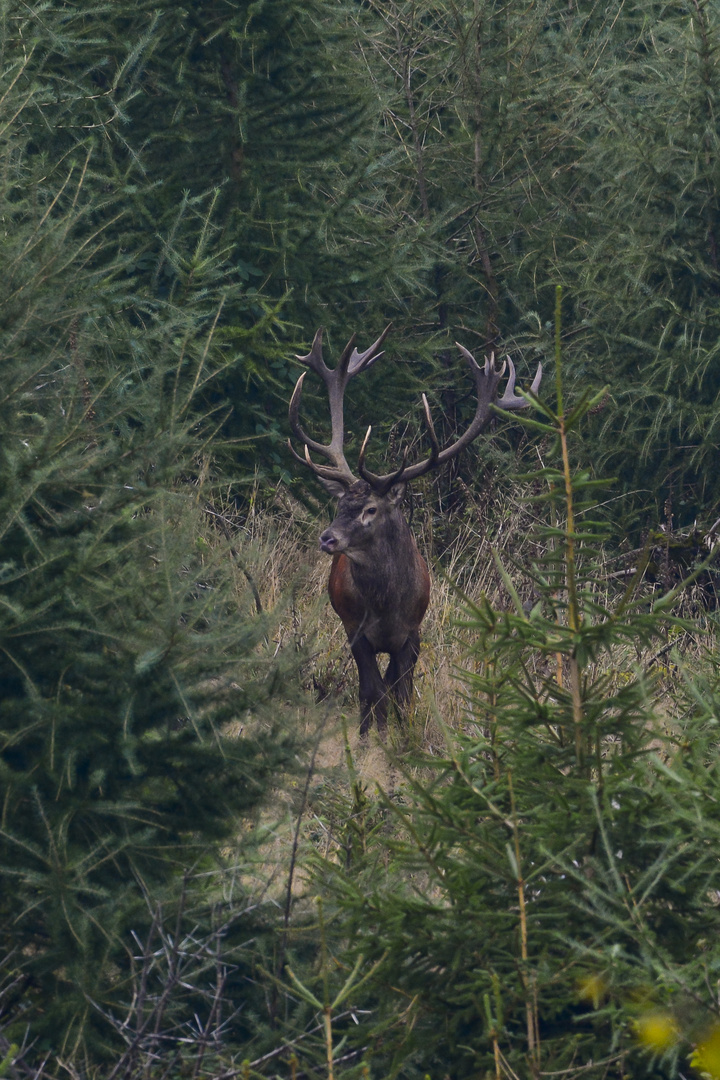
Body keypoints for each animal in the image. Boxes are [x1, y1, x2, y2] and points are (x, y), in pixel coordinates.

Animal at [287, 324, 539, 738]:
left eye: (371, 509)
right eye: (340, 506)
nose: (328, 538)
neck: (386, 606)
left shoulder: (413, 633)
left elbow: (401, 693)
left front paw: (404, 738)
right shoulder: (355, 630)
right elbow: (371, 690)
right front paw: (370, 738)